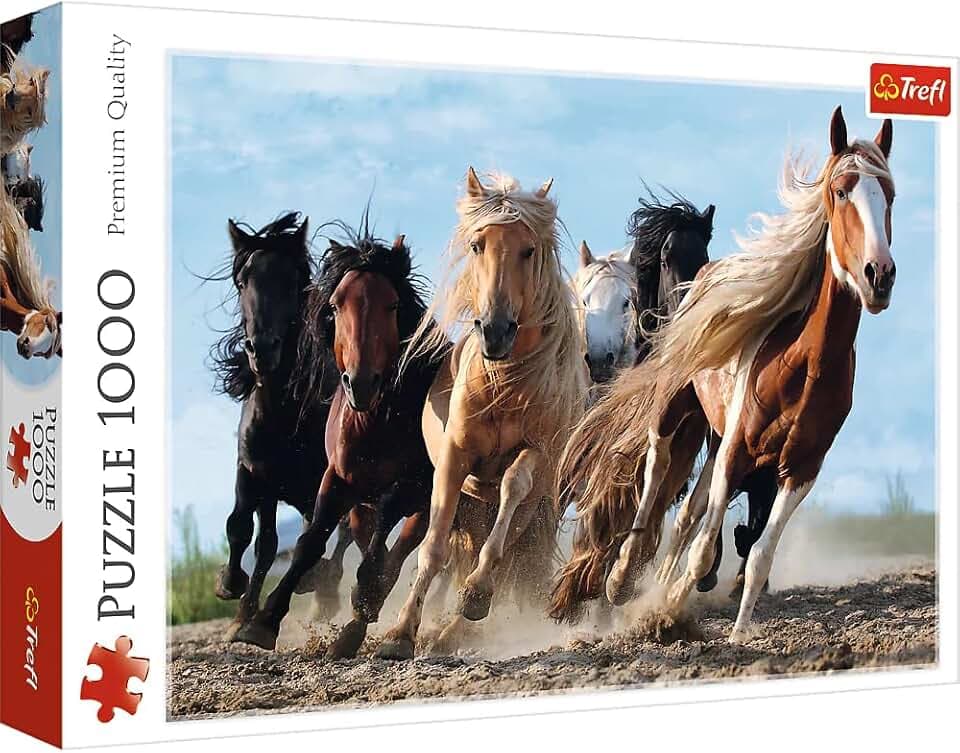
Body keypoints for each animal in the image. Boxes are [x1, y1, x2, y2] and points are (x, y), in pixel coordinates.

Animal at [209, 212, 334, 641]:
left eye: (293, 280)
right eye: (243, 280)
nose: (261, 349)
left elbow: (308, 540)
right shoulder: (254, 472)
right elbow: (244, 530)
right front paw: (232, 593)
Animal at [234, 226, 443, 659]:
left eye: (392, 305)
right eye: (335, 305)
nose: (360, 383)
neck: (377, 419)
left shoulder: (410, 486)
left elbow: (380, 554)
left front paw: (362, 601)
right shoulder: (337, 479)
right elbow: (309, 542)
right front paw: (263, 621)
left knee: (396, 553)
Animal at [376, 168, 587, 661]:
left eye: (528, 250)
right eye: (477, 245)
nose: (495, 331)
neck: (504, 383)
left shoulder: (536, 455)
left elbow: (512, 488)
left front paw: (473, 595)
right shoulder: (455, 459)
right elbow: (433, 548)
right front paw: (399, 632)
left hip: (531, 509)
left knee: (506, 553)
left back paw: (457, 627)